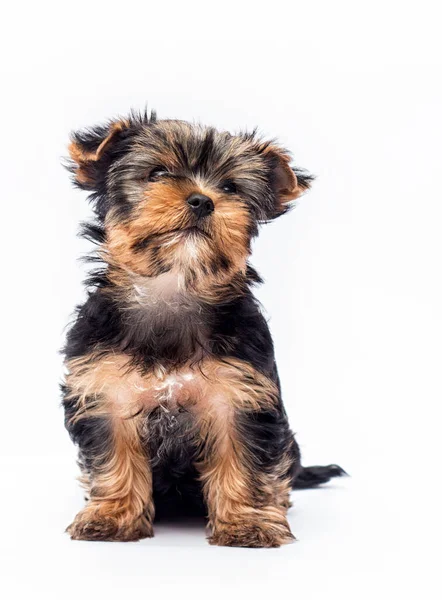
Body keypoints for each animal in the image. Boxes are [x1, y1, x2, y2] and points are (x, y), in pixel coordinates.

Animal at [62, 110, 346, 548]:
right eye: (157, 173)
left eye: (230, 187)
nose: (202, 199)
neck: (174, 286)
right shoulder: (104, 390)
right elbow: (113, 456)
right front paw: (112, 516)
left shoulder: (240, 395)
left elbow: (243, 461)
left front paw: (248, 523)